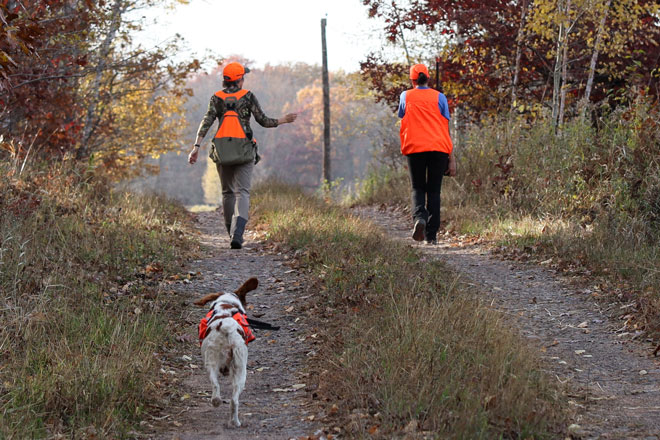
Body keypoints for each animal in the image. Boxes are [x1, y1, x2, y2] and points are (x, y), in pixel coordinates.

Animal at [193, 276, 258, 428]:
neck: (226, 305)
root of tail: (226, 327)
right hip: (240, 369)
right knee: (234, 399)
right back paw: (235, 421)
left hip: (213, 362)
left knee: (217, 387)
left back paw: (218, 404)